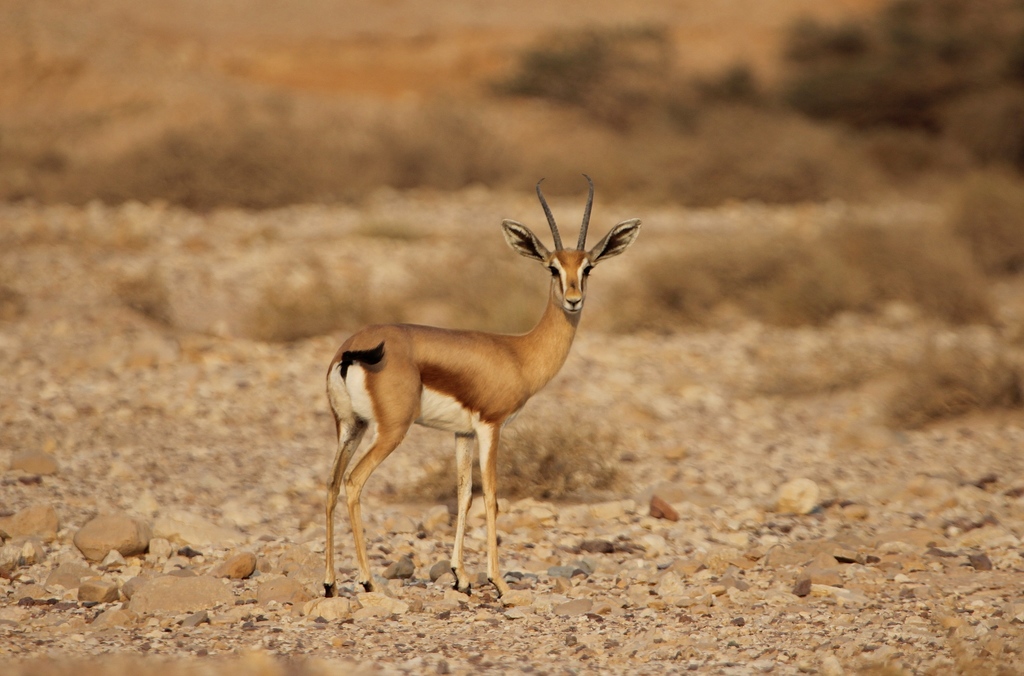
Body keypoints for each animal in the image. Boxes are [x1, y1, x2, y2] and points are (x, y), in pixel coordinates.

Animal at [324, 175, 640, 599]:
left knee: (331, 484)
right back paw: (368, 580)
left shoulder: (461, 433)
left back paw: (329, 583)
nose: (574, 300)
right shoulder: (492, 426)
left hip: (349, 426)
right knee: (354, 482)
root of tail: (352, 350)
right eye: (552, 268)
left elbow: (463, 495)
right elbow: (491, 496)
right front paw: (499, 581)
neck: (519, 353)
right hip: (390, 431)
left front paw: (461, 577)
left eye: (588, 267)